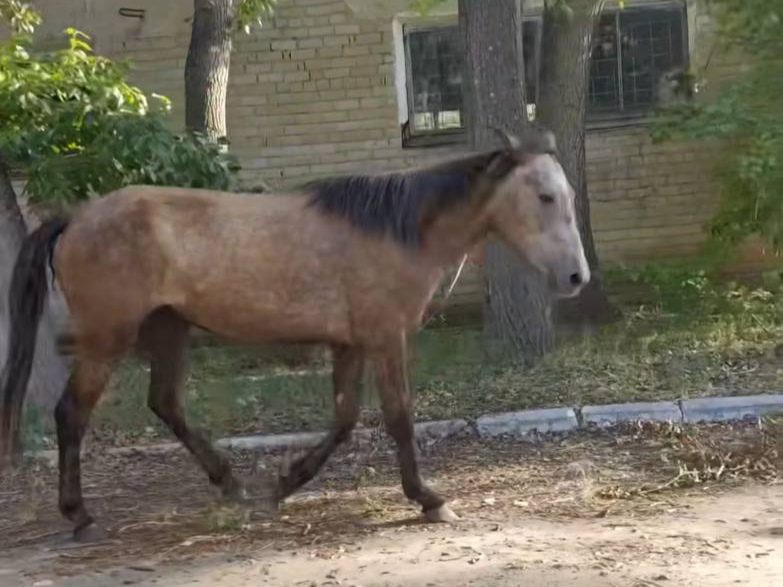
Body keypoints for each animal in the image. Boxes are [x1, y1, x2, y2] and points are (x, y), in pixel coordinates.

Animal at [0, 129, 588, 544]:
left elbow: (345, 420)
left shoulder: (350, 344)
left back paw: (231, 483)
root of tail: (75, 219)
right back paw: (80, 515)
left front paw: (285, 483)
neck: (396, 229)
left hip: (168, 328)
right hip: (108, 339)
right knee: (72, 415)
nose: (576, 278)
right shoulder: (385, 338)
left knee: (165, 403)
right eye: (543, 196)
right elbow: (398, 418)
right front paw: (428, 499)